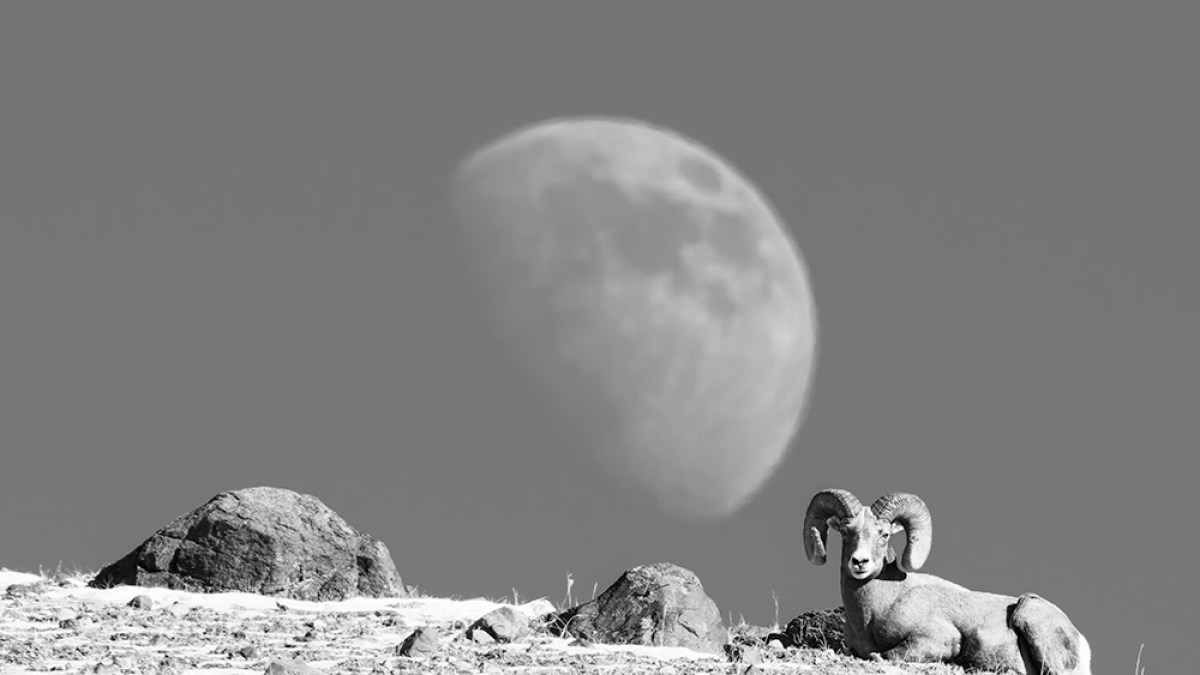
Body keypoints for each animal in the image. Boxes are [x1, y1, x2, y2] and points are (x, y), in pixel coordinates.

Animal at [803, 489, 1091, 674]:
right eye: (845, 532)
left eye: (884, 534)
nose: (859, 562)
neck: (875, 610)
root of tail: (1082, 642)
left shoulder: (936, 638)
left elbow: (886, 655)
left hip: (1029, 614)